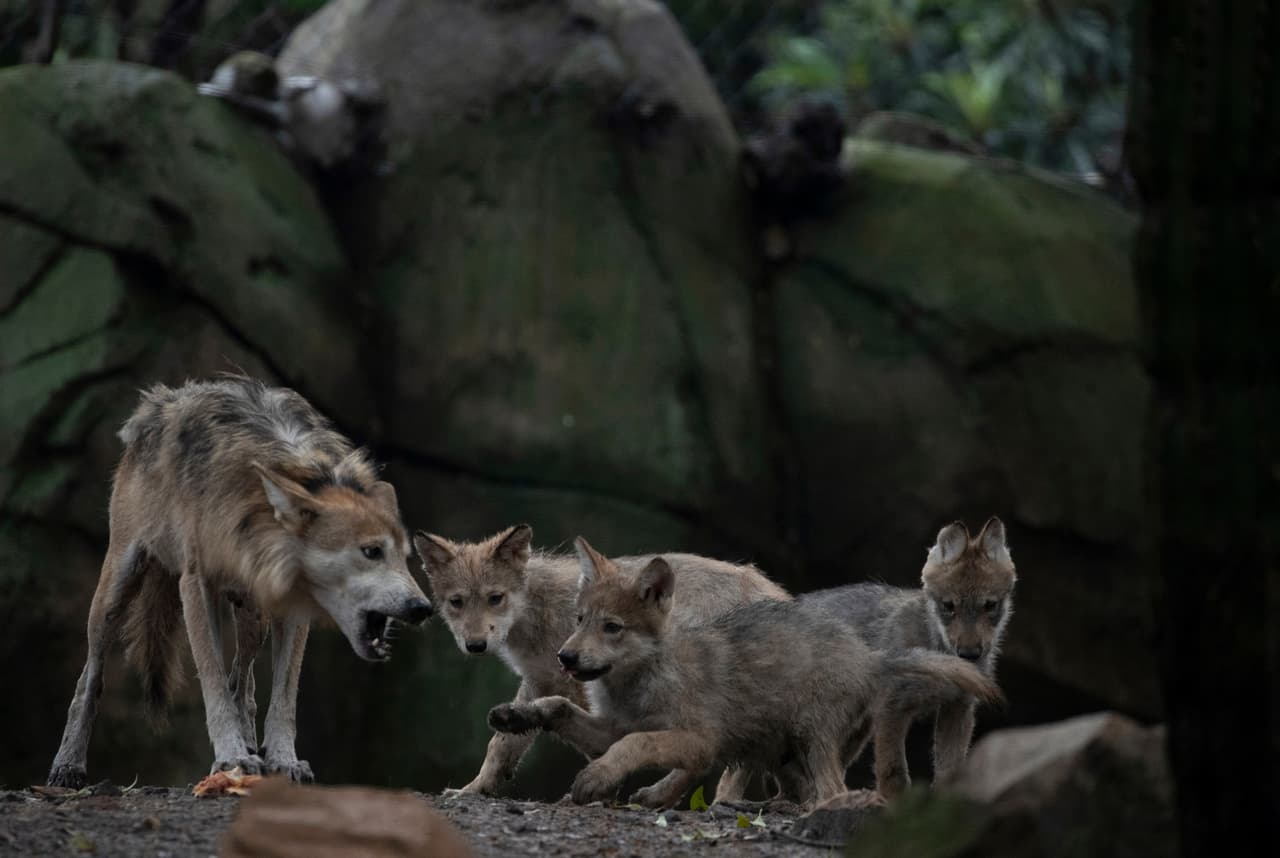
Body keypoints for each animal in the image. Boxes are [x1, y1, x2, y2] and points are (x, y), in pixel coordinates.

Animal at [47, 377, 432, 788]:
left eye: (406, 556)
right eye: (371, 551)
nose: (423, 608)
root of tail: (155, 403)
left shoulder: (291, 605)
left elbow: (282, 697)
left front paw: (282, 759)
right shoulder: (196, 586)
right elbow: (213, 682)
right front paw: (231, 757)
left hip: (253, 617)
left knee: (242, 682)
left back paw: (251, 745)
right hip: (116, 593)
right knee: (90, 677)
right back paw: (68, 765)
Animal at [413, 525, 789, 802]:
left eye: (495, 598)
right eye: (457, 602)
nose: (476, 644)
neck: (539, 614)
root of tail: (777, 594)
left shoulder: (582, 686)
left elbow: (602, 747)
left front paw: (602, 792)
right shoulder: (540, 680)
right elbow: (503, 743)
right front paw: (475, 789)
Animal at [486, 537, 1001, 808]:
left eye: (612, 627)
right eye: (579, 620)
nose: (565, 658)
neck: (642, 680)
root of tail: (868, 655)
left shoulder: (695, 737)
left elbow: (639, 744)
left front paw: (593, 780)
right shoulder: (607, 729)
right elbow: (558, 706)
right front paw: (516, 715)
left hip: (810, 739)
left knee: (830, 792)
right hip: (778, 753)